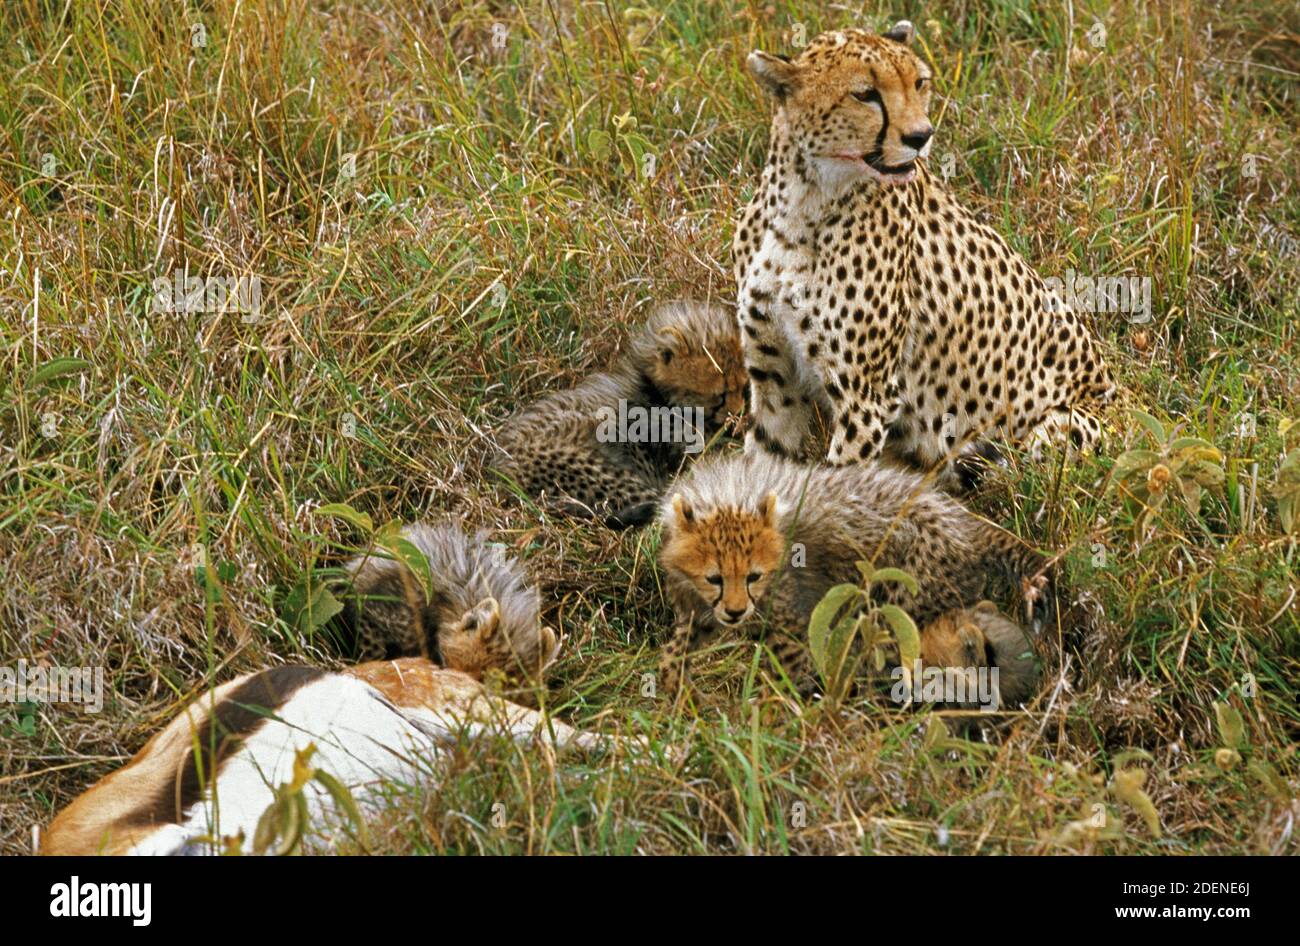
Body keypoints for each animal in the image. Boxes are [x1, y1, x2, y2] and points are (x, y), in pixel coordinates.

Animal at [738, 24, 1112, 473]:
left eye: (919, 83)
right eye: (865, 94)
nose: (921, 136)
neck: (802, 202)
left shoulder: (866, 398)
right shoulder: (775, 378)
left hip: (1044, 434)